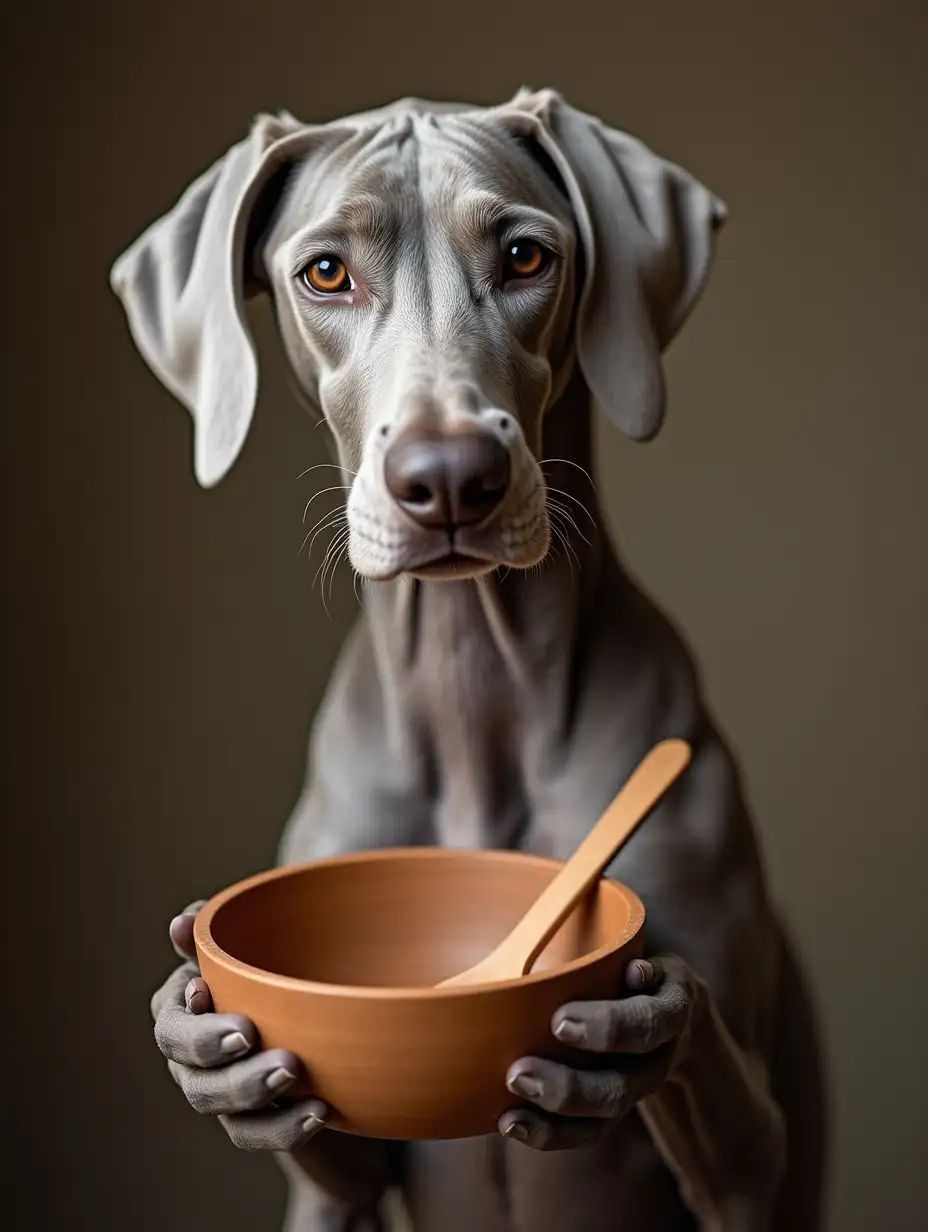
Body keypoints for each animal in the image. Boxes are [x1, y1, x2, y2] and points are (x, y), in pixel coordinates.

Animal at [110, 89, 823, 1232]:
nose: (448, 477)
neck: (470, 686)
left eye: (526, 255)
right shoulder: (332, 1170)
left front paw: (653, 1020)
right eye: (325, 273)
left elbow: (704, 1058)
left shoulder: (754, 1166)